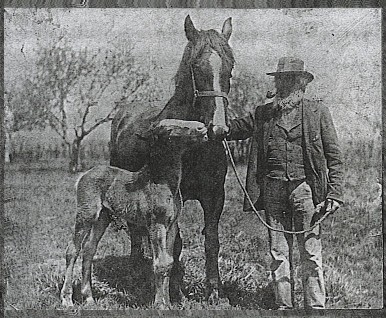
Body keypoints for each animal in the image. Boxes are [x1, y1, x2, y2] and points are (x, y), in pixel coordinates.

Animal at [60, 119, 208, 308]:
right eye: (168, 129)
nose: (202, 128)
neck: (165, 184)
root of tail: (83, 175)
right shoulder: (156, 224)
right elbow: (160, 263)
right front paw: (160, 305)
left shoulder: (172, 225)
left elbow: (169, 262)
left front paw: (167, 302)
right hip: (87, 215)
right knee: (72, 250)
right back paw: (67, 299)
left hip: (103, 217)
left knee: (88, 249)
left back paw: (89, 298)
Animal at [109, 15, 235, 304]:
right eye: (196, 67)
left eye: (230, 67)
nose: (218, 129)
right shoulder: (174, 197)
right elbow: (175, 244)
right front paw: (176, 291)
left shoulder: (214, 196)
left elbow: (212, 241)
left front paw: (215, 292)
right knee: (135, 232)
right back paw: (135, 269)